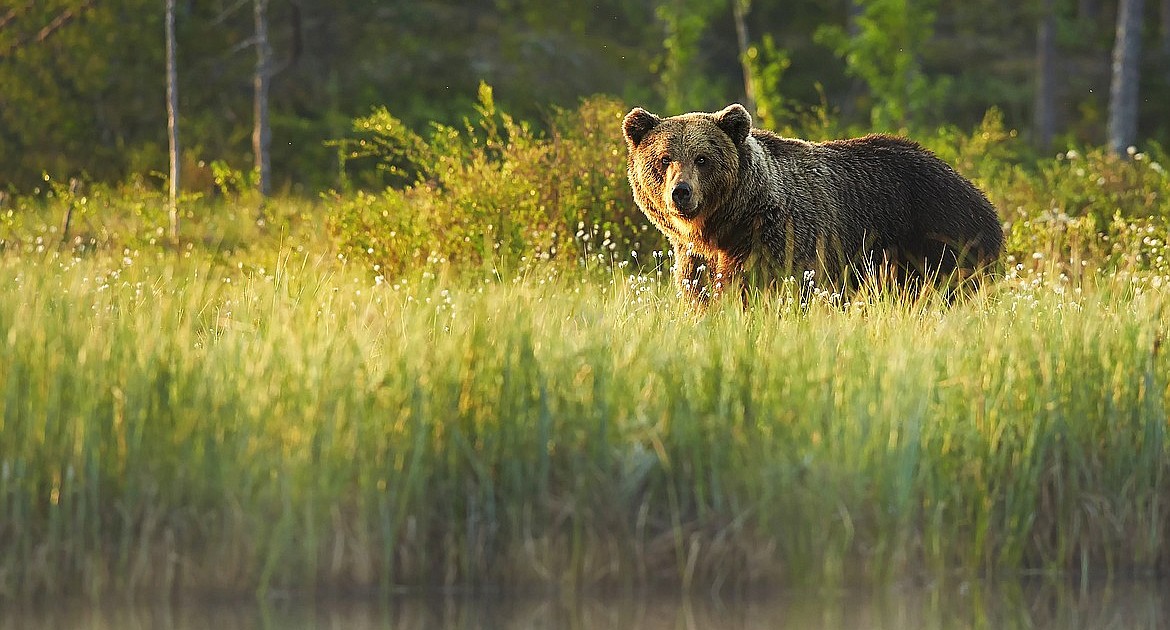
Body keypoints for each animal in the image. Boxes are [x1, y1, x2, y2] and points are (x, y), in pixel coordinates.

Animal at [622, 103, 1004, 309]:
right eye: (664, 158)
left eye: (702, 158)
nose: (681, 192)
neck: (728, 225)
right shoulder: (696, 257)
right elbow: (700, 293)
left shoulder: (781, 239)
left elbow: (766, 288)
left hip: (939, 236)